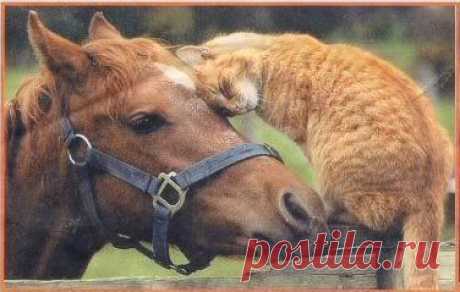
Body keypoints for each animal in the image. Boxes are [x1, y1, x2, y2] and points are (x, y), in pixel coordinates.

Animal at [176, 32, 452, 288]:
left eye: (225, 87)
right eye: (224, 112)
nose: (236, 109)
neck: (269, 51)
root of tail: (430, 197)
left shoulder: (304, 139)